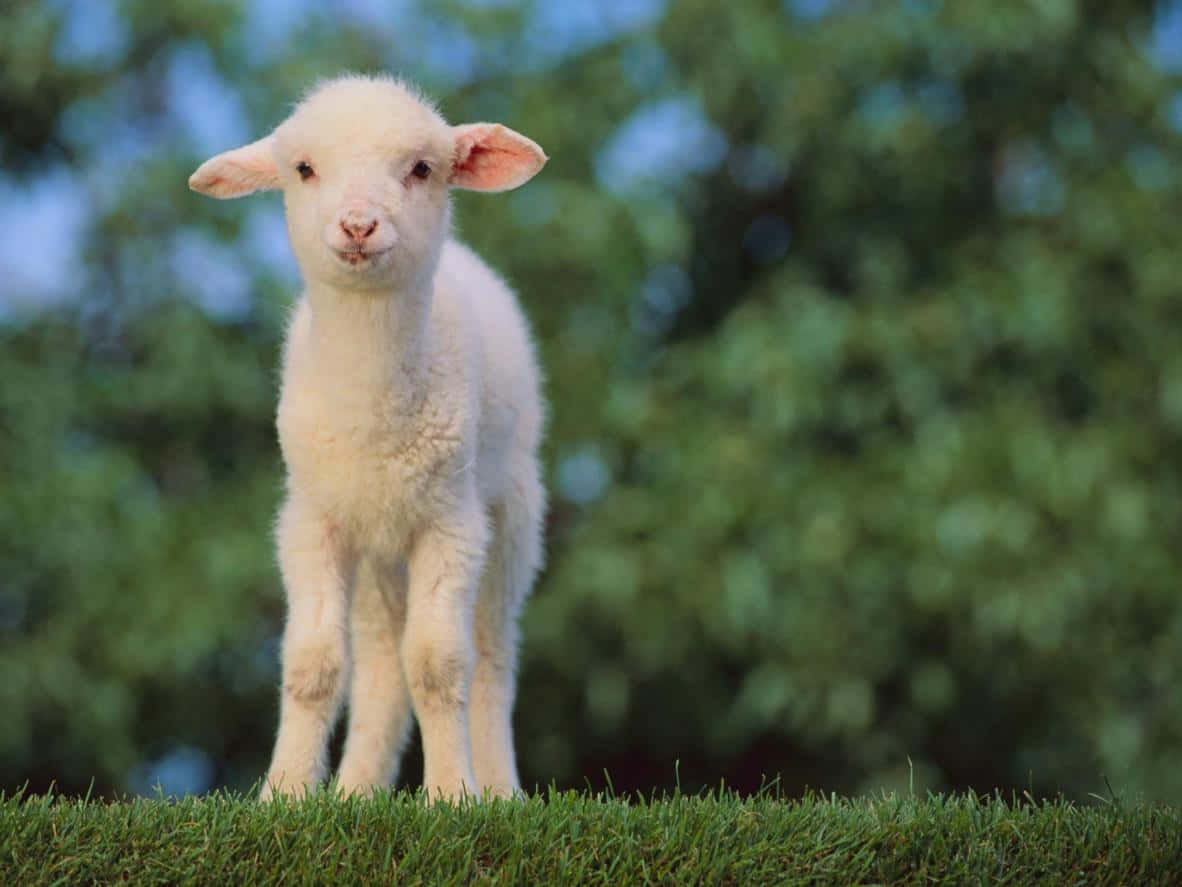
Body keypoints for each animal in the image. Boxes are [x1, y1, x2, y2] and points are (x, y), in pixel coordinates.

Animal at [188, 75, 548, 801]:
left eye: (422, 168)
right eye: (303, 169)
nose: (358, 224)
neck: (371, 414)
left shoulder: (451, 521)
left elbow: (439, 662)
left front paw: (451, 795)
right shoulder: (311, 520)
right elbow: (313, 662)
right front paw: (284, 793)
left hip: (513, 513)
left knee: (493, 652)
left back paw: (498, 788)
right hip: (378, 550)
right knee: (382, 661)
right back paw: (356, 789)